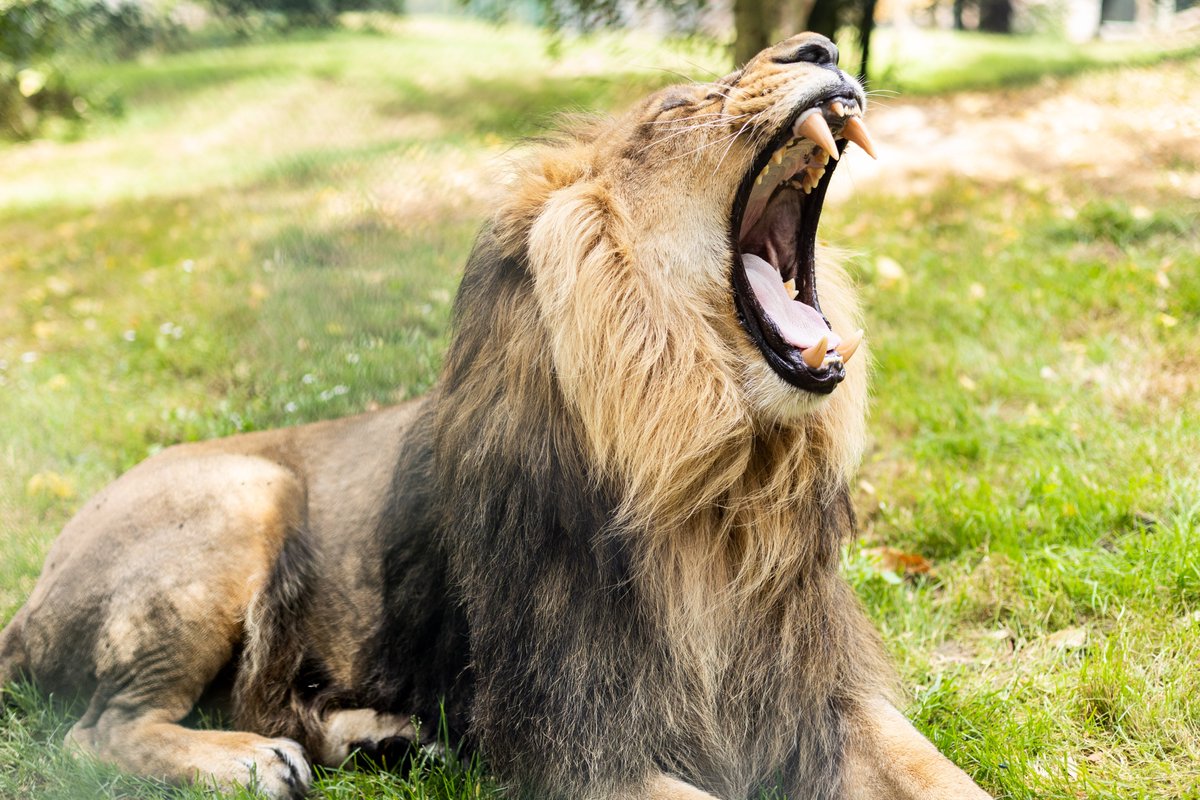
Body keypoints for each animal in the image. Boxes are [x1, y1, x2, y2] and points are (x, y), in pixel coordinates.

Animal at [0, 34, 993, 800]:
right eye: (679, 108)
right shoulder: (577, 742)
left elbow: (941, 776)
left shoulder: (818, 690)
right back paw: (252, 762)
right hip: (245, 493)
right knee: (96, 730)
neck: (712, 479)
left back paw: (387, 737)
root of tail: (26, 607)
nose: (821, 46)